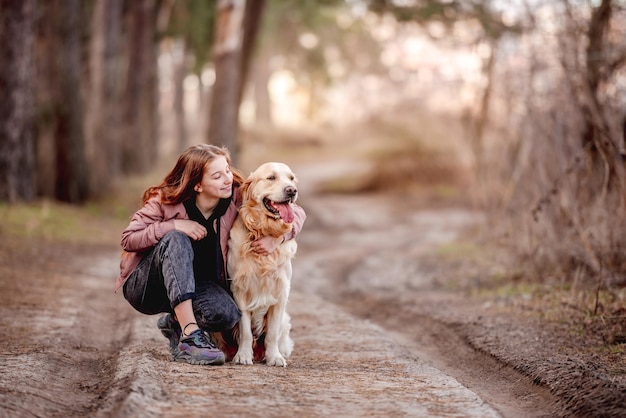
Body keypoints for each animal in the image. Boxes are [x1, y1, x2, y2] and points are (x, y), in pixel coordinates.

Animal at [228, 162, 298, 364]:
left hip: (285, 320)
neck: (263, 230)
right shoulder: (240, 289)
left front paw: (274, 357)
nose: (292, 191)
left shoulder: (281, 291)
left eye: (291, 178)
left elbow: (272, 333)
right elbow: (245, 330)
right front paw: (243, 355)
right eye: (271, 177)